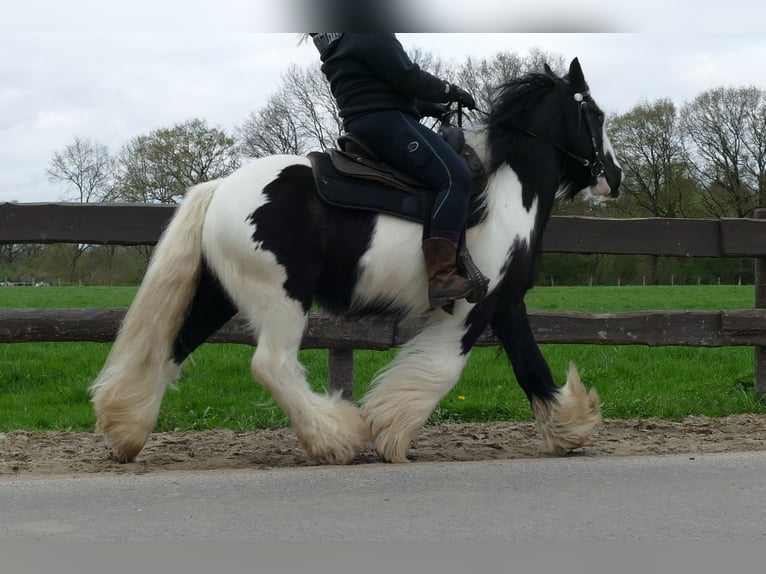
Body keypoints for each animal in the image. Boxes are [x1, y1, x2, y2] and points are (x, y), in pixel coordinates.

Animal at [93, 58, 624, 466]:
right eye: (595, 114)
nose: (615, 177)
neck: (506, 192)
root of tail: (220, 187)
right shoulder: (474, 308)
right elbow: (441, 370)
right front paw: (389, 432)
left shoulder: (508, 304)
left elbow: (532, 366)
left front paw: (570, 428)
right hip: (282, 299)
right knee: (271, 365)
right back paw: (336, 437)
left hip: (219, 294)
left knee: (172, 348)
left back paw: (126, 432)